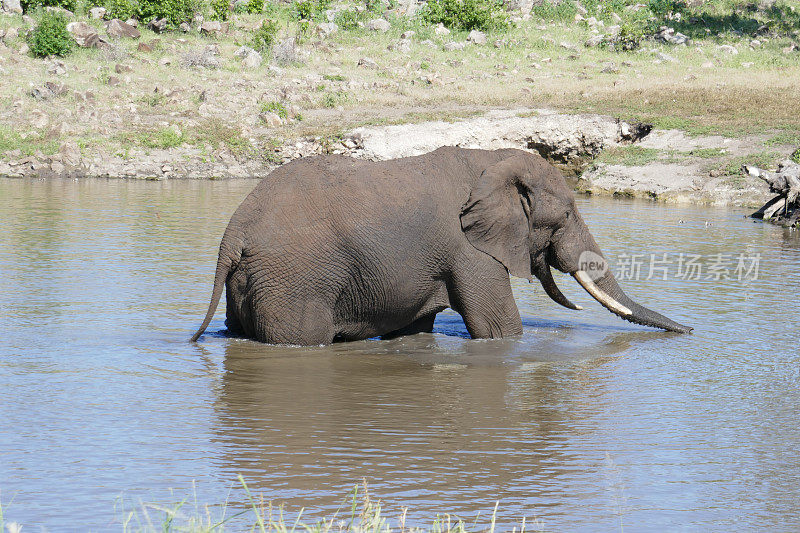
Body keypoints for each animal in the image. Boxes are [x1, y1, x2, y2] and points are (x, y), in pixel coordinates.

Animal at [191, 147, 692, 344]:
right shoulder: (469, 250)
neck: (493, 159)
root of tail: (233, 233)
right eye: (567, 214)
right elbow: (498, 328)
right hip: (295, 280)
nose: (692, 333)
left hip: (255, 278)